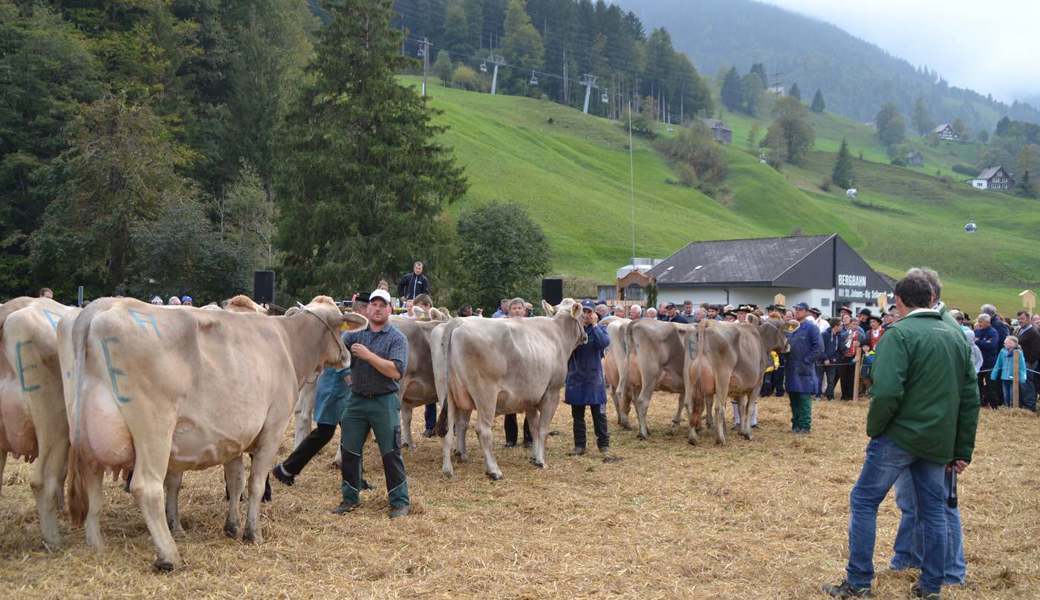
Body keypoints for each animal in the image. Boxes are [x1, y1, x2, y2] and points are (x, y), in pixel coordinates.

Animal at [62, 295, 366, 569]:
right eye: (341, 327)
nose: (347, 358)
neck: (289, 344)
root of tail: (101, 307)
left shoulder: (234, 437)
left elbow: (235, 481)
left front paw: (231, 526)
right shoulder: (273, 427)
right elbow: (255, 484)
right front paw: (252, 533)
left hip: (89, 433)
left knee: (92, 484)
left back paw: (96, 544)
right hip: (154, 430)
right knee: (146, 487)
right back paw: (169, 556)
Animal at [434, 301, 590, 480]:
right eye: (582, 316)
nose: (586, 336)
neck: (557, 334)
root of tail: (457, 322)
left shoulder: (530, 398)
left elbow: (534, 428)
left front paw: (534, 457)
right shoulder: (552, 392)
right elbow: (543, 429)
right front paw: (541, 461)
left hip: (446, 393)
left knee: (448, 429)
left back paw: (448, 469)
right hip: (485, 394)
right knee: (482, 429)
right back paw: (494, 470)